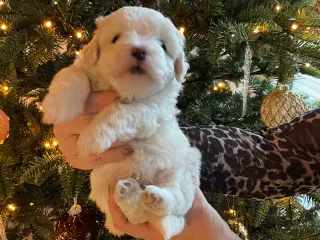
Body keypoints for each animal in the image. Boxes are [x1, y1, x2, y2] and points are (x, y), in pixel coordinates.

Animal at [42, 6, 201, 239]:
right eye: (116, 38)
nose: (139, 51)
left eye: (163, 46)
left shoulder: (151, 108)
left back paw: (156, 199)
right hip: (102, 184)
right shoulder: (85, 69)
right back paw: (128, 193)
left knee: (174, 200)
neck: (126, 90)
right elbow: (73, 74)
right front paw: (57, 105)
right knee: (136, 215)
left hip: (184, 170)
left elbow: (121, 111)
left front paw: (92, 137)